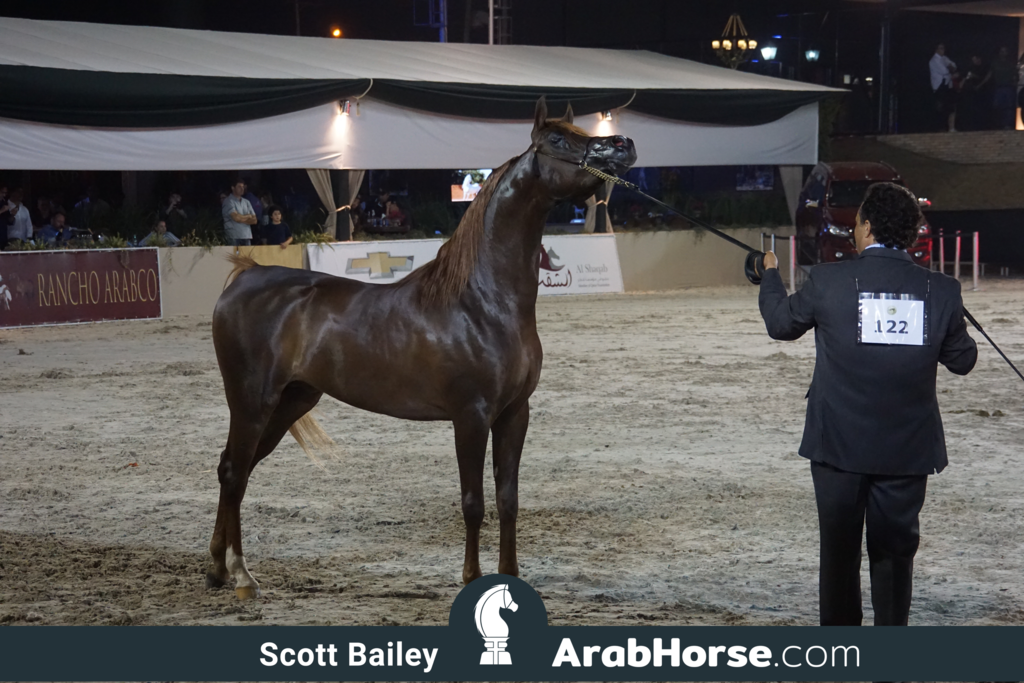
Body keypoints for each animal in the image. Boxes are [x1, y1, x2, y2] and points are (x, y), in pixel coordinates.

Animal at [207, 97, 637, 599]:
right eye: (557, 139)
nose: (623, 145)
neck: (482, 301)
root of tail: (248, 274)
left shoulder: (515, 413)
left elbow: (507, 499)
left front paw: (510, 575)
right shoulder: (470, 416)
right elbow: (473, 502)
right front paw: (471, 577)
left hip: (292, 400)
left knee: (236, 469)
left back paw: (218, 569)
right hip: (252, 402)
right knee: (235, 472)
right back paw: (240, 574)